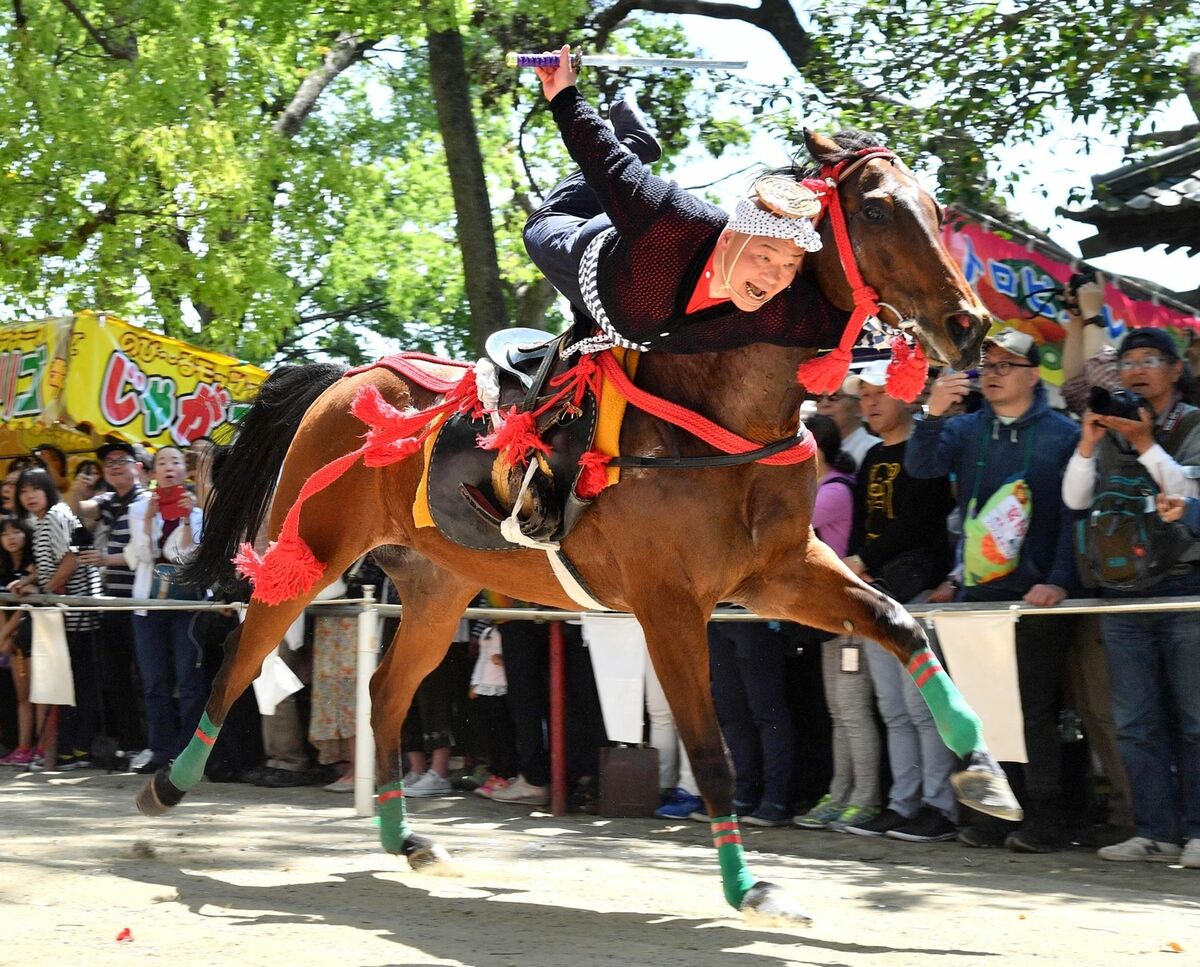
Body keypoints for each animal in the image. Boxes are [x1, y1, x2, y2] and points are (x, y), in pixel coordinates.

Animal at [137, 130, 1016, 928]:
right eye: (876, 209)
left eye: (935, 208)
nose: (968, 324)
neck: (718, 408)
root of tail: (348, 376)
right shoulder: (670, 605)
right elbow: (713, 754)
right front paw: (750, 888)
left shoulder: (780, 573)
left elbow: (900, 623)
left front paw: (982, 771)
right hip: (311, 549)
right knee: (241, 658)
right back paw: (167, 784)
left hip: (438, 587)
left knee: (385, 691)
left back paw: (406, 837)